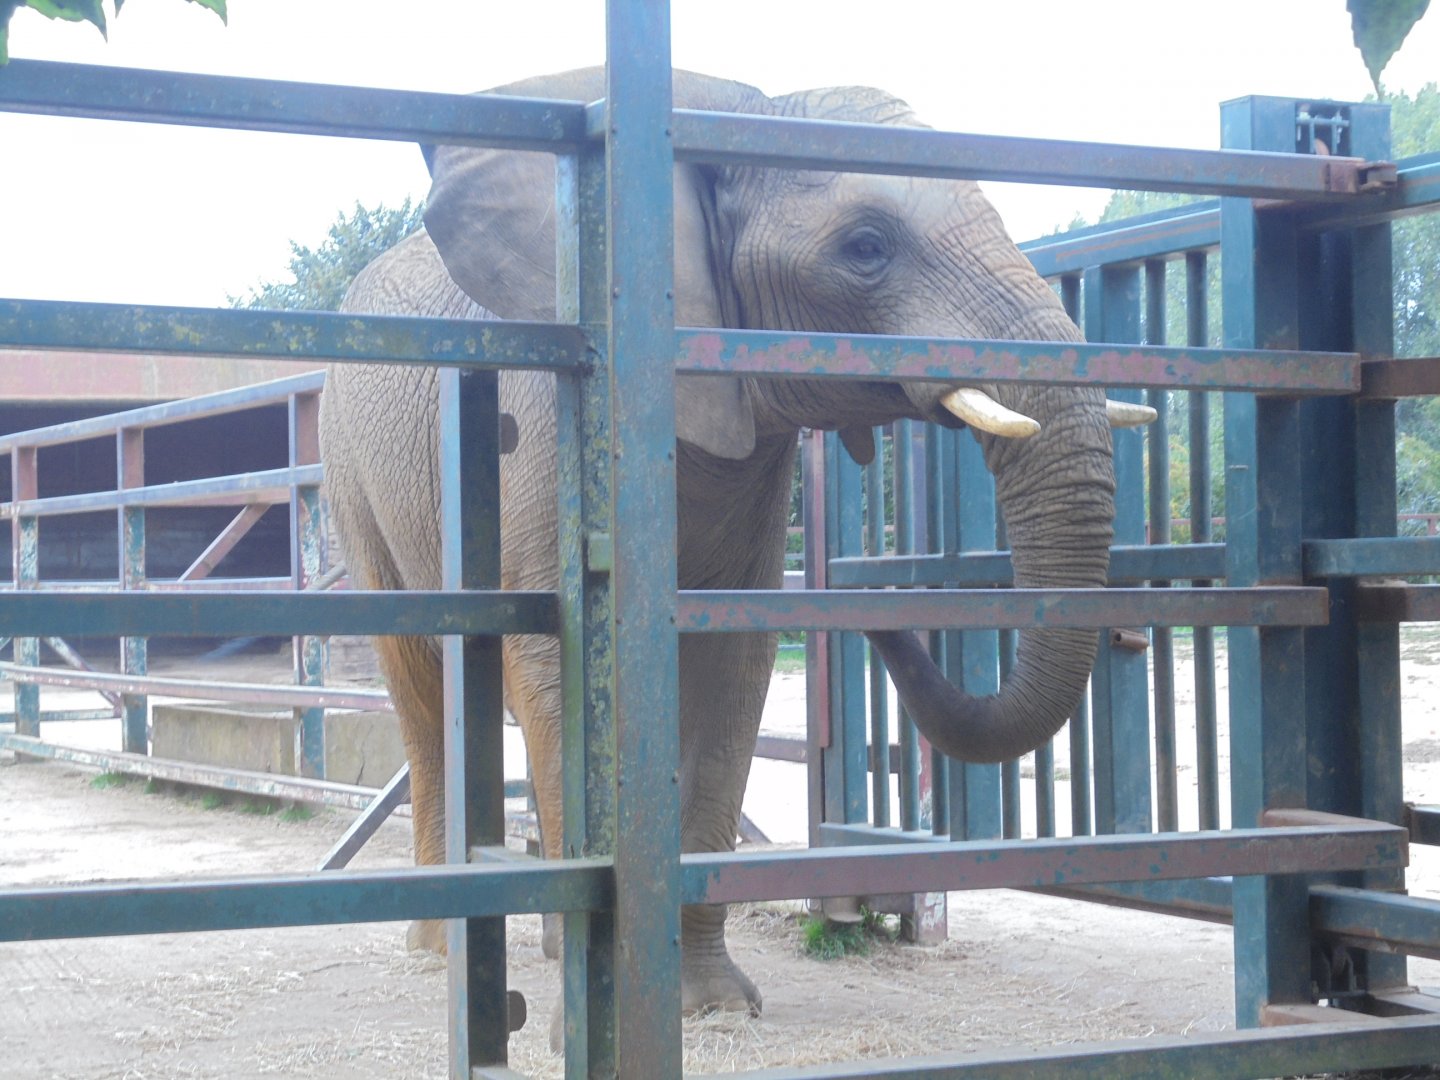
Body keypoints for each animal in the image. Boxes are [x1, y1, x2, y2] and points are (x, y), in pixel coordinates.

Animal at [319, 67, 1144, 1025]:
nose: (875, 607)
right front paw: (590, 1014)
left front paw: (712, 1007)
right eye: (866, 246)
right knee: (425, 683)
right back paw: (440, 948)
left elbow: (731, 665)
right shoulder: (549, 431)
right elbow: (553, 663)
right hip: (353, 473)